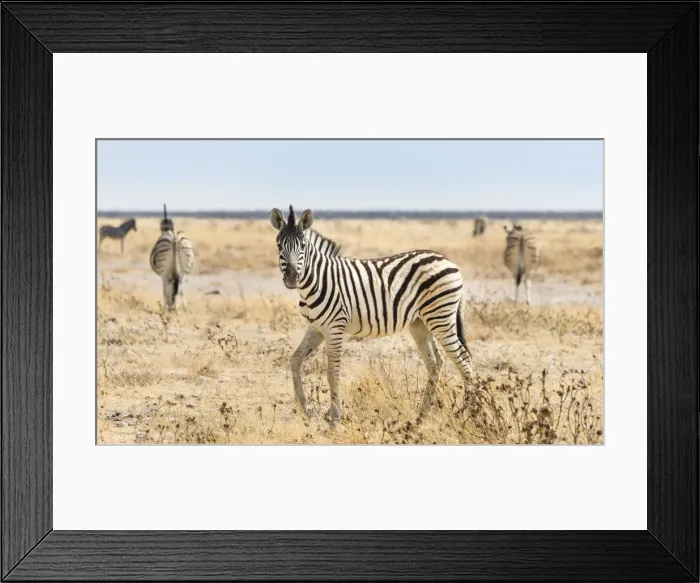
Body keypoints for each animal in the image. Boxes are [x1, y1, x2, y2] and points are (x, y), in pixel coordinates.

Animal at [270, 205, 474, 426]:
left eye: (303, 246)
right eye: (279, 245)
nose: (291, 277)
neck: (317, 281)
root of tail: (449, 261)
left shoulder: (335, 328)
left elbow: (332, 372)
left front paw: (335, 419)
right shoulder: (316, 328)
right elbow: (295, 360)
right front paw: (305, 409)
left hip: (441, 318)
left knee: (464, 359)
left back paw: (471, 412)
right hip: (421, 323)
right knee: (436, 363)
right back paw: (422, 416)